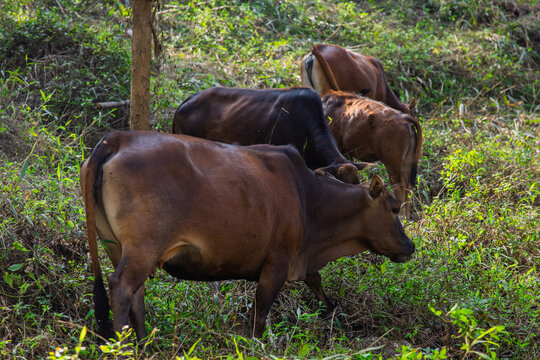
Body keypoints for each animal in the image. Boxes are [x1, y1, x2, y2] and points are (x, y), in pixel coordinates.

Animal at [82, 130, 416, 340]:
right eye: (394, 208)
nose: (410, 246)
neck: (309, 198)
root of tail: (118, 139)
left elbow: (316, 283)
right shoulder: (277, 264)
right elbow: (260, 315)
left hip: (119, 246)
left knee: (135, 293)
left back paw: (143, 342)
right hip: (144, 247)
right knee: (122, 287)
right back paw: (125, 345)